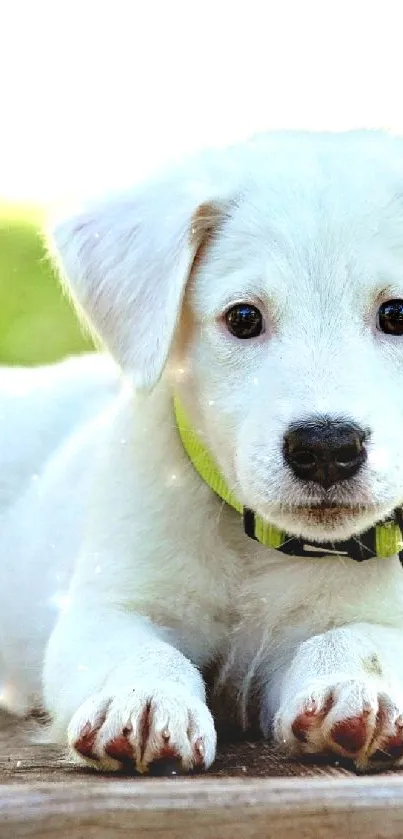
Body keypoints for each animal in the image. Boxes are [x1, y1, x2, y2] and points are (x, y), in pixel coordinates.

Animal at [1, 133, 403, 776]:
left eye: (397, 314)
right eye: (243, 317)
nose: (325, 447)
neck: (259, 548)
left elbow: (359, 636)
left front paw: (357, 689)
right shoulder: (108, 606)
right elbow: (140, 650)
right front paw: (142, 700)